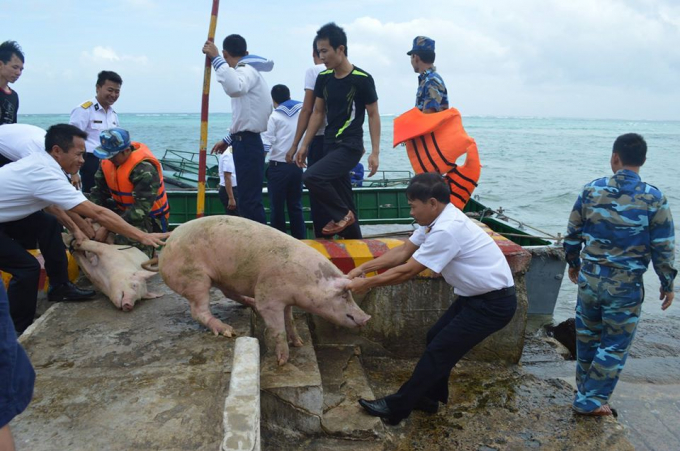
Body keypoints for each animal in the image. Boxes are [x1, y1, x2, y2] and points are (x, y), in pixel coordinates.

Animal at [158, 216, 372, 368]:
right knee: (198, 310)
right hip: (194, 278)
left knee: (229, 294)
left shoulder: (287, 300)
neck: (305, 282)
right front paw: (283, 361)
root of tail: (168, 242)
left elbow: (290, 320)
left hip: (224, 278)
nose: (367, 317)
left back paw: (249, 304)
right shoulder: (269, 296)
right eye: (343, 295)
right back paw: (228, 330)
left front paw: (299, 342)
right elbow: (278, 329)